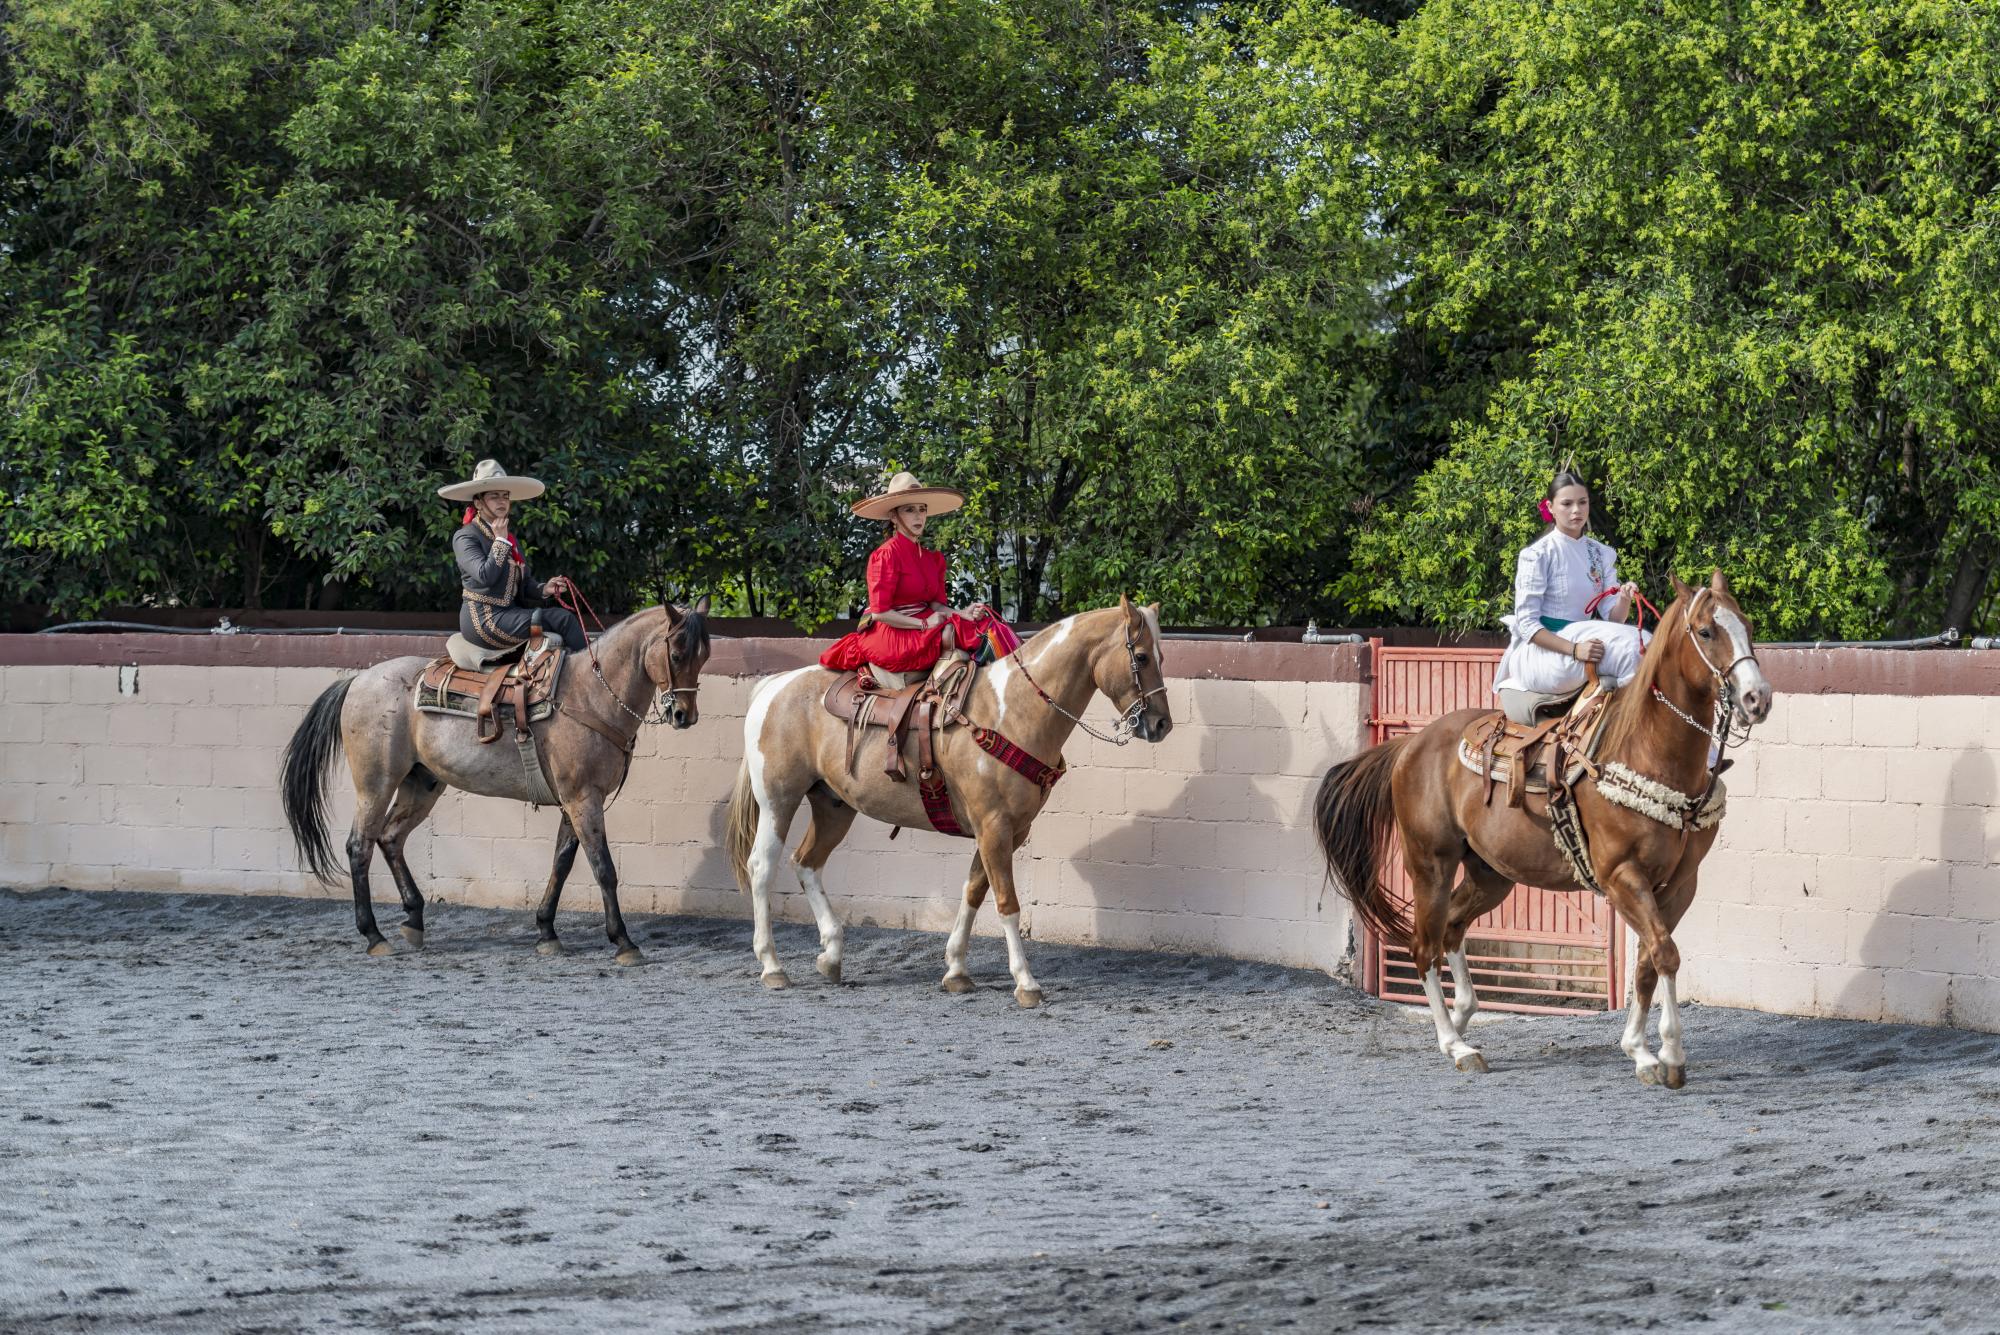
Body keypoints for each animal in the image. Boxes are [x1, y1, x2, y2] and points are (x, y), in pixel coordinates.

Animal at [282, 603, 712, 959]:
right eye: (677, 654)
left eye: (704, 656)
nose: (684, 715)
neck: (590, 695)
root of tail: (357, 681)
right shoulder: (583, 799)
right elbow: (602, 867)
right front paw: (623, 942)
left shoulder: (573, 801)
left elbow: (562, 861)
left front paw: (547, 932)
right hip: (375, 784)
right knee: (360, 846)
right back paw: (374, 936)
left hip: (422, 784)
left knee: (390, 838)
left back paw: (414, 921)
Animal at [728, 599, 1168, 1007]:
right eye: (1143, 657)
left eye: (1161, 657)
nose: (1161, 724)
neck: (1013, 712)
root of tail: (773, 686)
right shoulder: (994, 827)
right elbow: (1006, 902)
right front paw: (1026, 982)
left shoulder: (1008, 830)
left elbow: (973, 890)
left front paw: (956, 970)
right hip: (778, 801)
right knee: (762, 867)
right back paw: (772, 966)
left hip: (834, 806)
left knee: (806, 862)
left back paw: (831, 955)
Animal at [1320, 575, 1776, 1087]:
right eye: (1705, 631)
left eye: (1747, 625)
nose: (1757, 698)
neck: (1645, 749)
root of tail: (1410, 745)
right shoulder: (1622, 877)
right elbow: (1665, 953)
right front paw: (1667, 1055)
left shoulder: (1680, 884)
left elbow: (1646, 963)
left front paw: (1642, 1049)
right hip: (1429, 863)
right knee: (1424, 946)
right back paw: (1455, 1044)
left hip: (1491, 874)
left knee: (1453, 928)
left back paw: (1463, 1015)